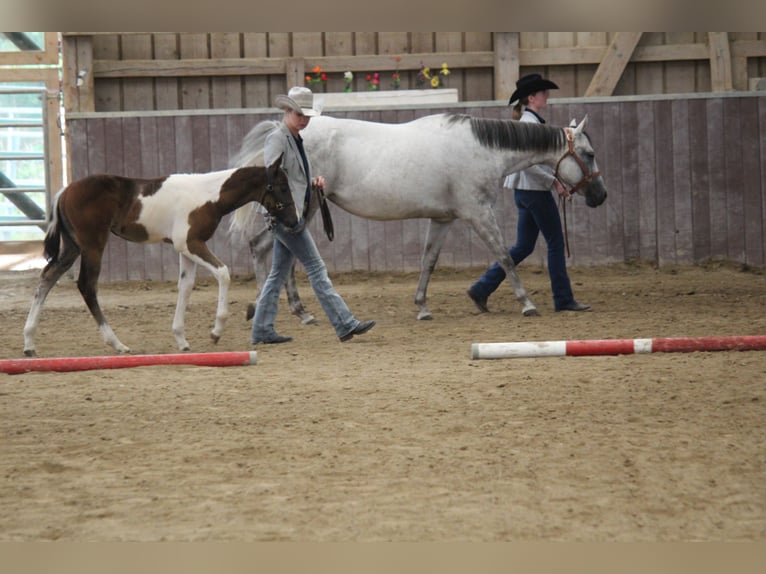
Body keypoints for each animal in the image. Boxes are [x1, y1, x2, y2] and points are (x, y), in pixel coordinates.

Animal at [22, 155, 298, 356]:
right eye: (283, 187)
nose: (294, 222)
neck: (210, 195)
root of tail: (66, 190)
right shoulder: (191, 243)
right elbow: (223, 273)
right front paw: (216, 331)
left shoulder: (185, 249)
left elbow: (185, 286)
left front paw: (182, 339)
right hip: (92, 246)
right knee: (86, 286)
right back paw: (117, 344)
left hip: (72, 247)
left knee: (47, 277)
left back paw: (29, 343)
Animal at [230, 113, 607, 323]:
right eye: (589, 153)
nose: (600, 196)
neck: (480, 149)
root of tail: (282, 132)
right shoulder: (478, 213)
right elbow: (504, 256)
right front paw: (527, 303)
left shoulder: (443, 220)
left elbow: (429, 261)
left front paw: (423, 307)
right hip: (301, 209)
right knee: (264, 247)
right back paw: (268, 307)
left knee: (280, 252)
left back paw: (295, 311)